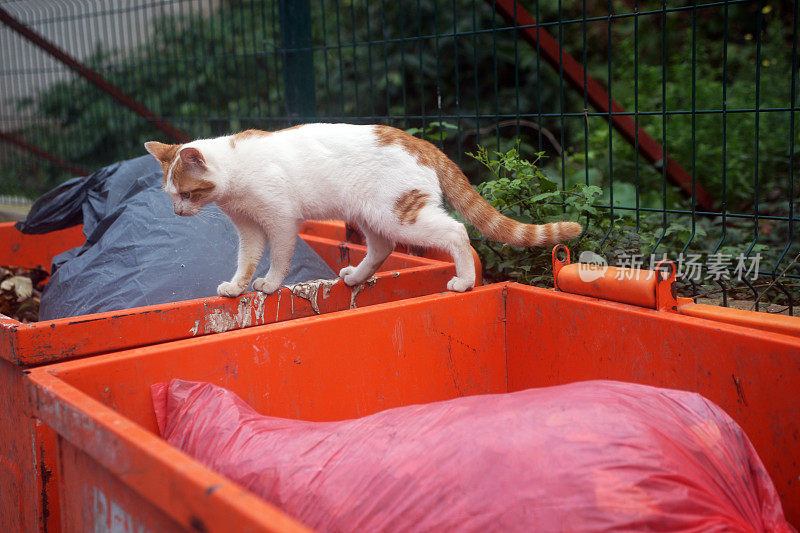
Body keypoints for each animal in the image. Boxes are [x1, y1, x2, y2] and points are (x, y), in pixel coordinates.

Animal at [145, 124, 580, 298]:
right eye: (170, 195)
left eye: (185, 194)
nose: (177, 213)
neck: (236, 171)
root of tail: (419, 141)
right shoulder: (249, 228)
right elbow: (246, 260)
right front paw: (237, 286)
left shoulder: (281, 222)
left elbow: (279, 258)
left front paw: (269, 284)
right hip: (369, 217)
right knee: (382, 249)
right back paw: (356, 277)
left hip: (400, 217)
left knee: (457, 233)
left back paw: (464, 282)